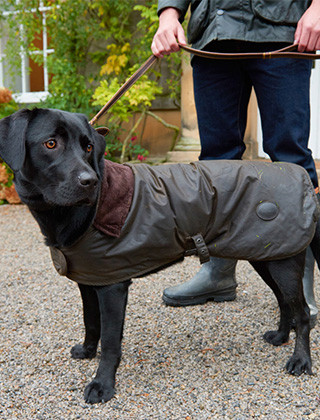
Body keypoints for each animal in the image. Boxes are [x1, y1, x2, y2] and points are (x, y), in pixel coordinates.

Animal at [0, 108, 320, 404]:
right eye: (50, 144)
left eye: (88, 147)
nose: (90, 181)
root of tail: (306, 182)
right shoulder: (90, 279)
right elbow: (91, 322)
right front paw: (88, 351)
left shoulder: (113, 285)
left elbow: (111, 342)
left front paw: (102, 385)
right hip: (267, 254)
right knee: (284, 303)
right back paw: (280, 337)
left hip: (282, 261)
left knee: (302, 312)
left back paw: (301, 360)